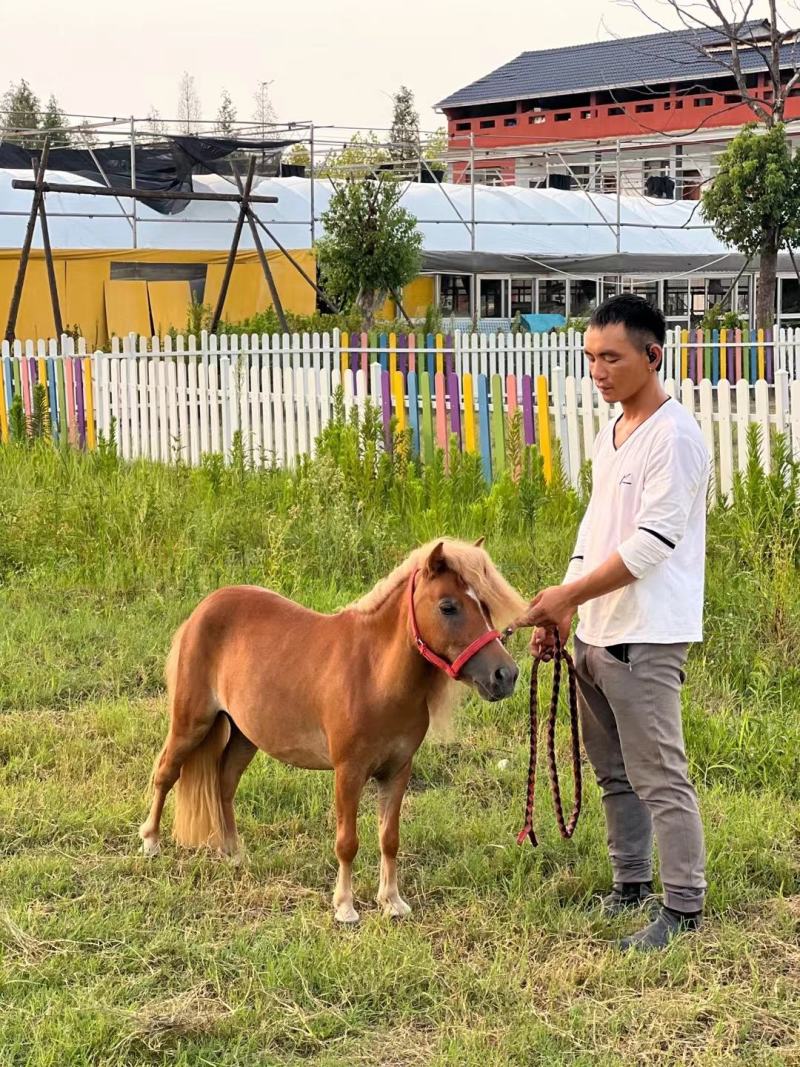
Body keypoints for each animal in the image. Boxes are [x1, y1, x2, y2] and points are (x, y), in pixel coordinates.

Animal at [139, 537, 527, 923]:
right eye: (448, 606)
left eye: (485, 605)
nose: (505, 675)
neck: (374, 676)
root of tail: (204, 608)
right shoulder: (348, 772)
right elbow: (347, 842)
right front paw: (345, 906)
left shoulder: (398, 771)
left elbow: (390, 838)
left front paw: (392, 902)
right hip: (191, 722)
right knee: (166, 772)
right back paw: (151, 842)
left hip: (244, 735)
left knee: (224, 784)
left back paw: (233, 853)